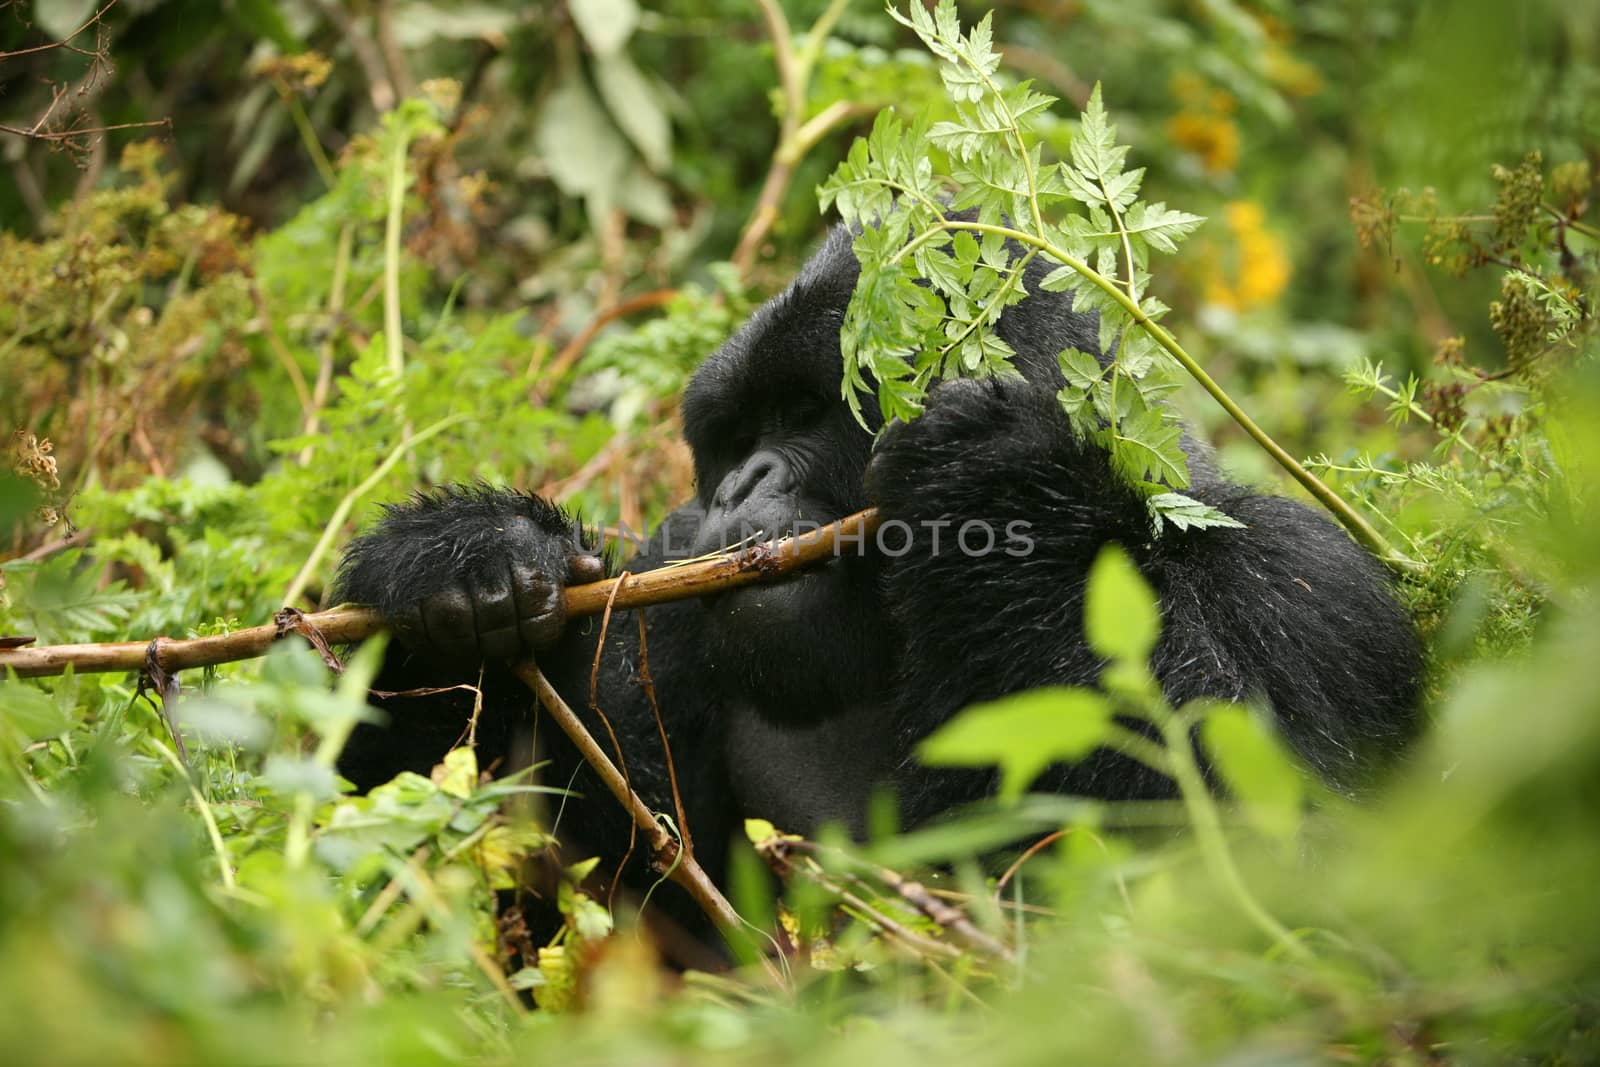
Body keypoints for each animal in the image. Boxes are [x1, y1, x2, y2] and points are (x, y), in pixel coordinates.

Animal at [337, 225, 1427, 902]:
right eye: (733, 435)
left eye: (806, 412)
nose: (737, 487)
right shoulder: (651, 590)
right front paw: (459, 561)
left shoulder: (1311, 585)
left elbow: (1277, 861)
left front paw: (1001, 487)